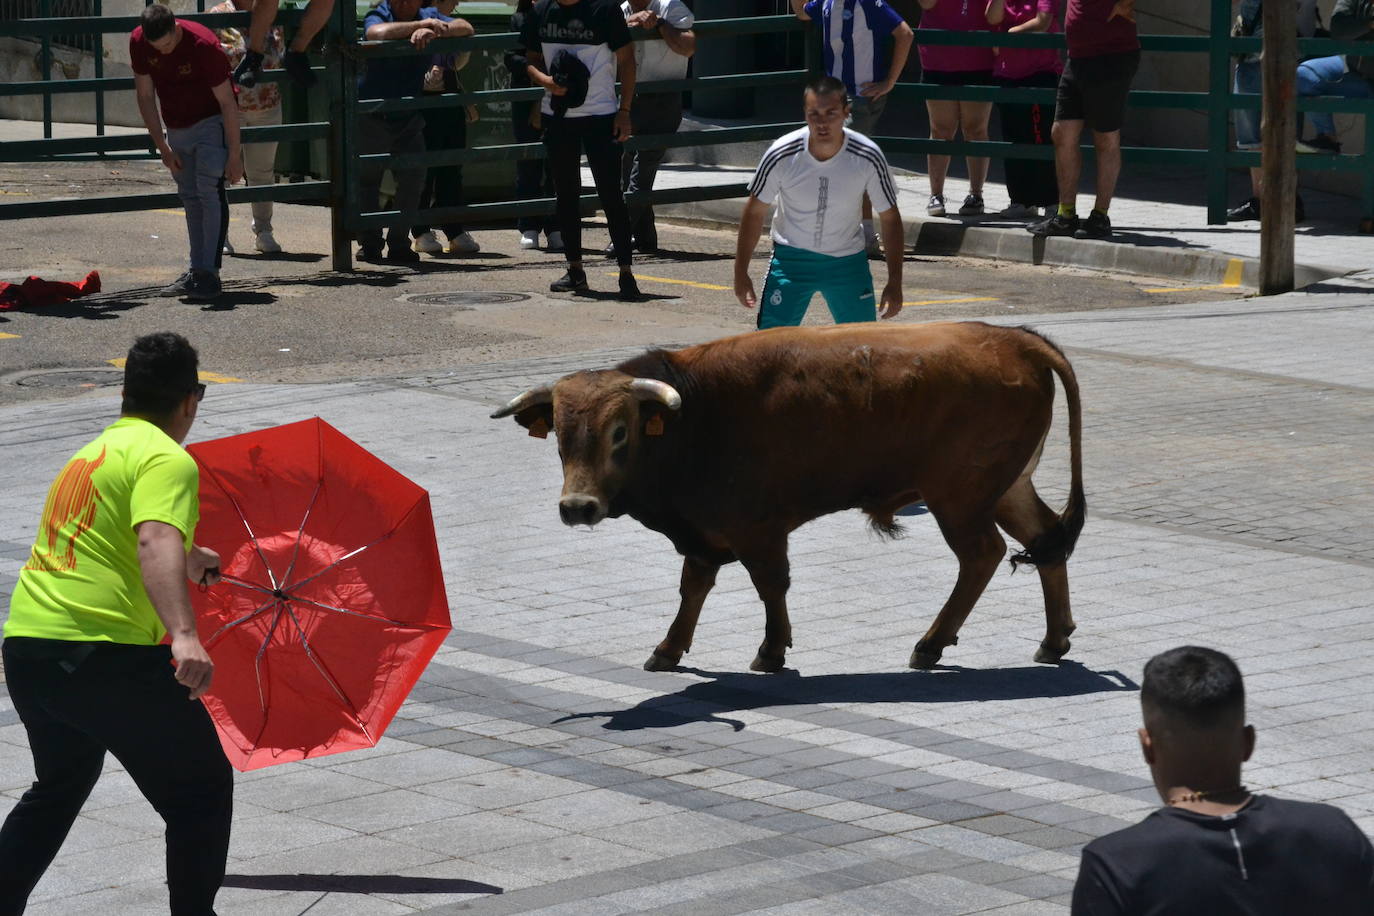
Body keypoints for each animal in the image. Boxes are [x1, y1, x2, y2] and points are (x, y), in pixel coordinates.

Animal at [491, 322, 1082, 672]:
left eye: (619, 432)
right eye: (561, 436)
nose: (578, 508)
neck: (695, 417)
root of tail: (1015, 338)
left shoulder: (758, 529)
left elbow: (770, 585)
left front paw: (771, 650)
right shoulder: (703, 534)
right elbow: (693, 586)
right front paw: (669, 648)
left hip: (959, 499)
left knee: (982, 555)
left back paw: (930, 644)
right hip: (1007, 488)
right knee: (1047, 541)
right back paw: (1053, 640)